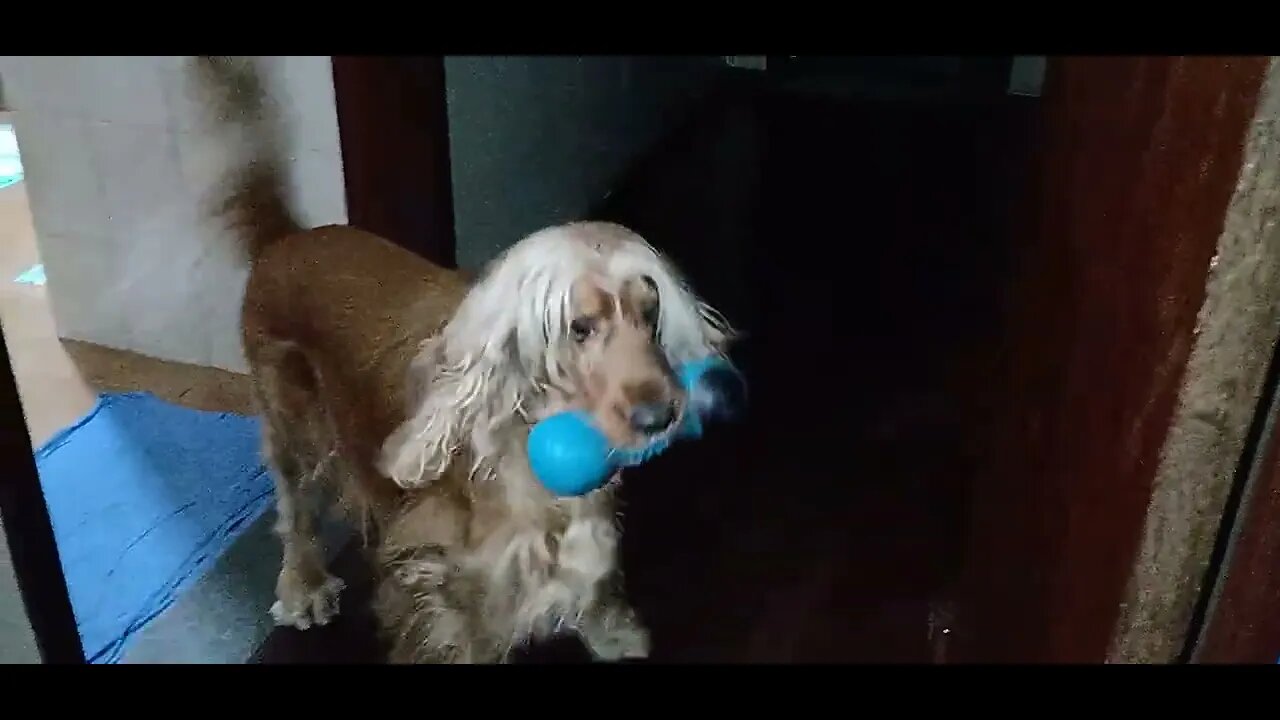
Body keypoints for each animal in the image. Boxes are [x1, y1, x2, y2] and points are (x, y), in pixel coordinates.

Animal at [186, 57, 732, 661]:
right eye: (579, 327)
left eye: (651, 311)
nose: (661, 417)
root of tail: (285, 240)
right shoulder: (441, 575)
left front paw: (614, 635)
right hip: (295, 422)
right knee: (294, 506)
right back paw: (303, 585)